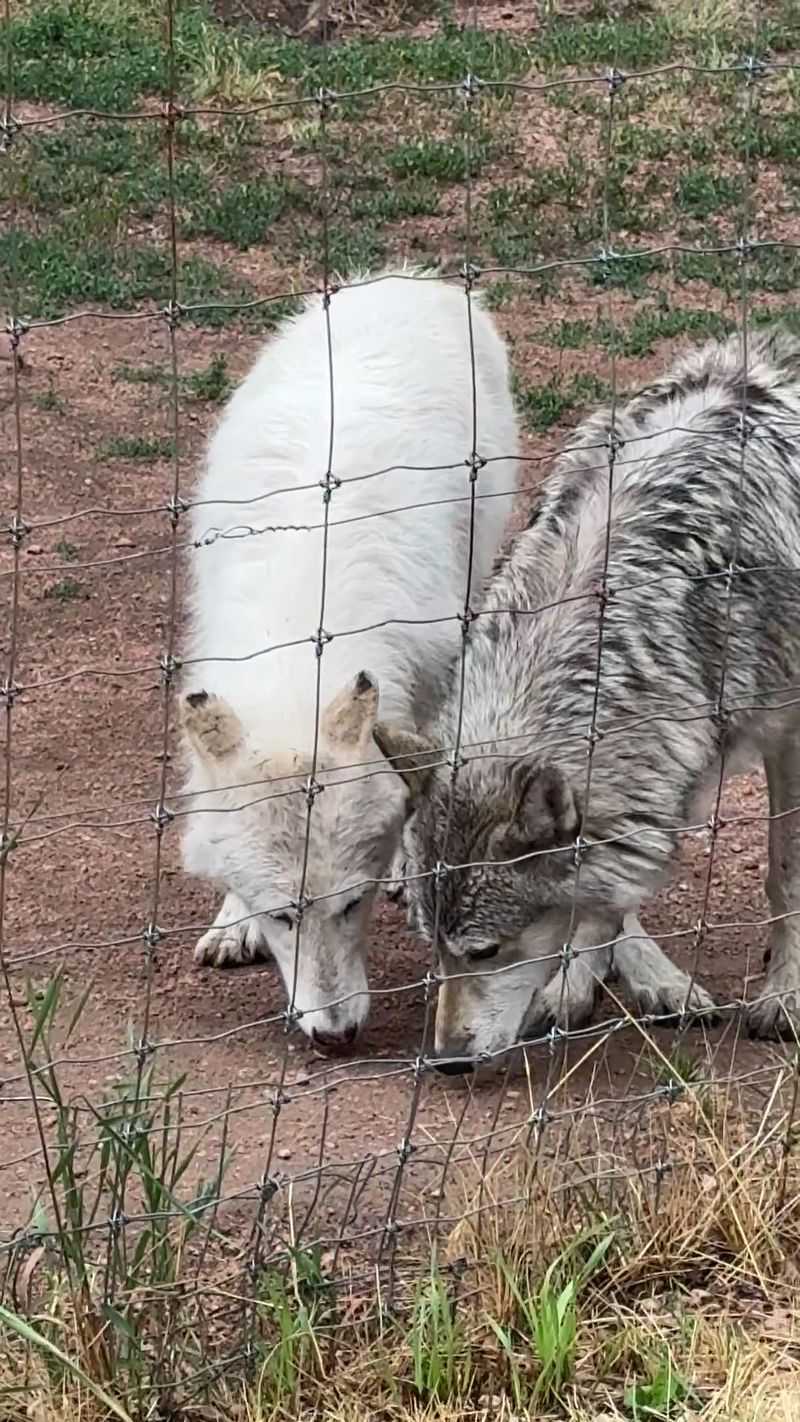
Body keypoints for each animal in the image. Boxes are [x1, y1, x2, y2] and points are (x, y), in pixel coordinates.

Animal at [375, 327, 800, 1069]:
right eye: (434, 949)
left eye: (484, 951)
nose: (447, 1059)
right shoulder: (660, 759)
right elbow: (601, 895)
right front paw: (576, 981)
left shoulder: (786, 727)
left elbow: (785, 872)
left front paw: (785, 994)